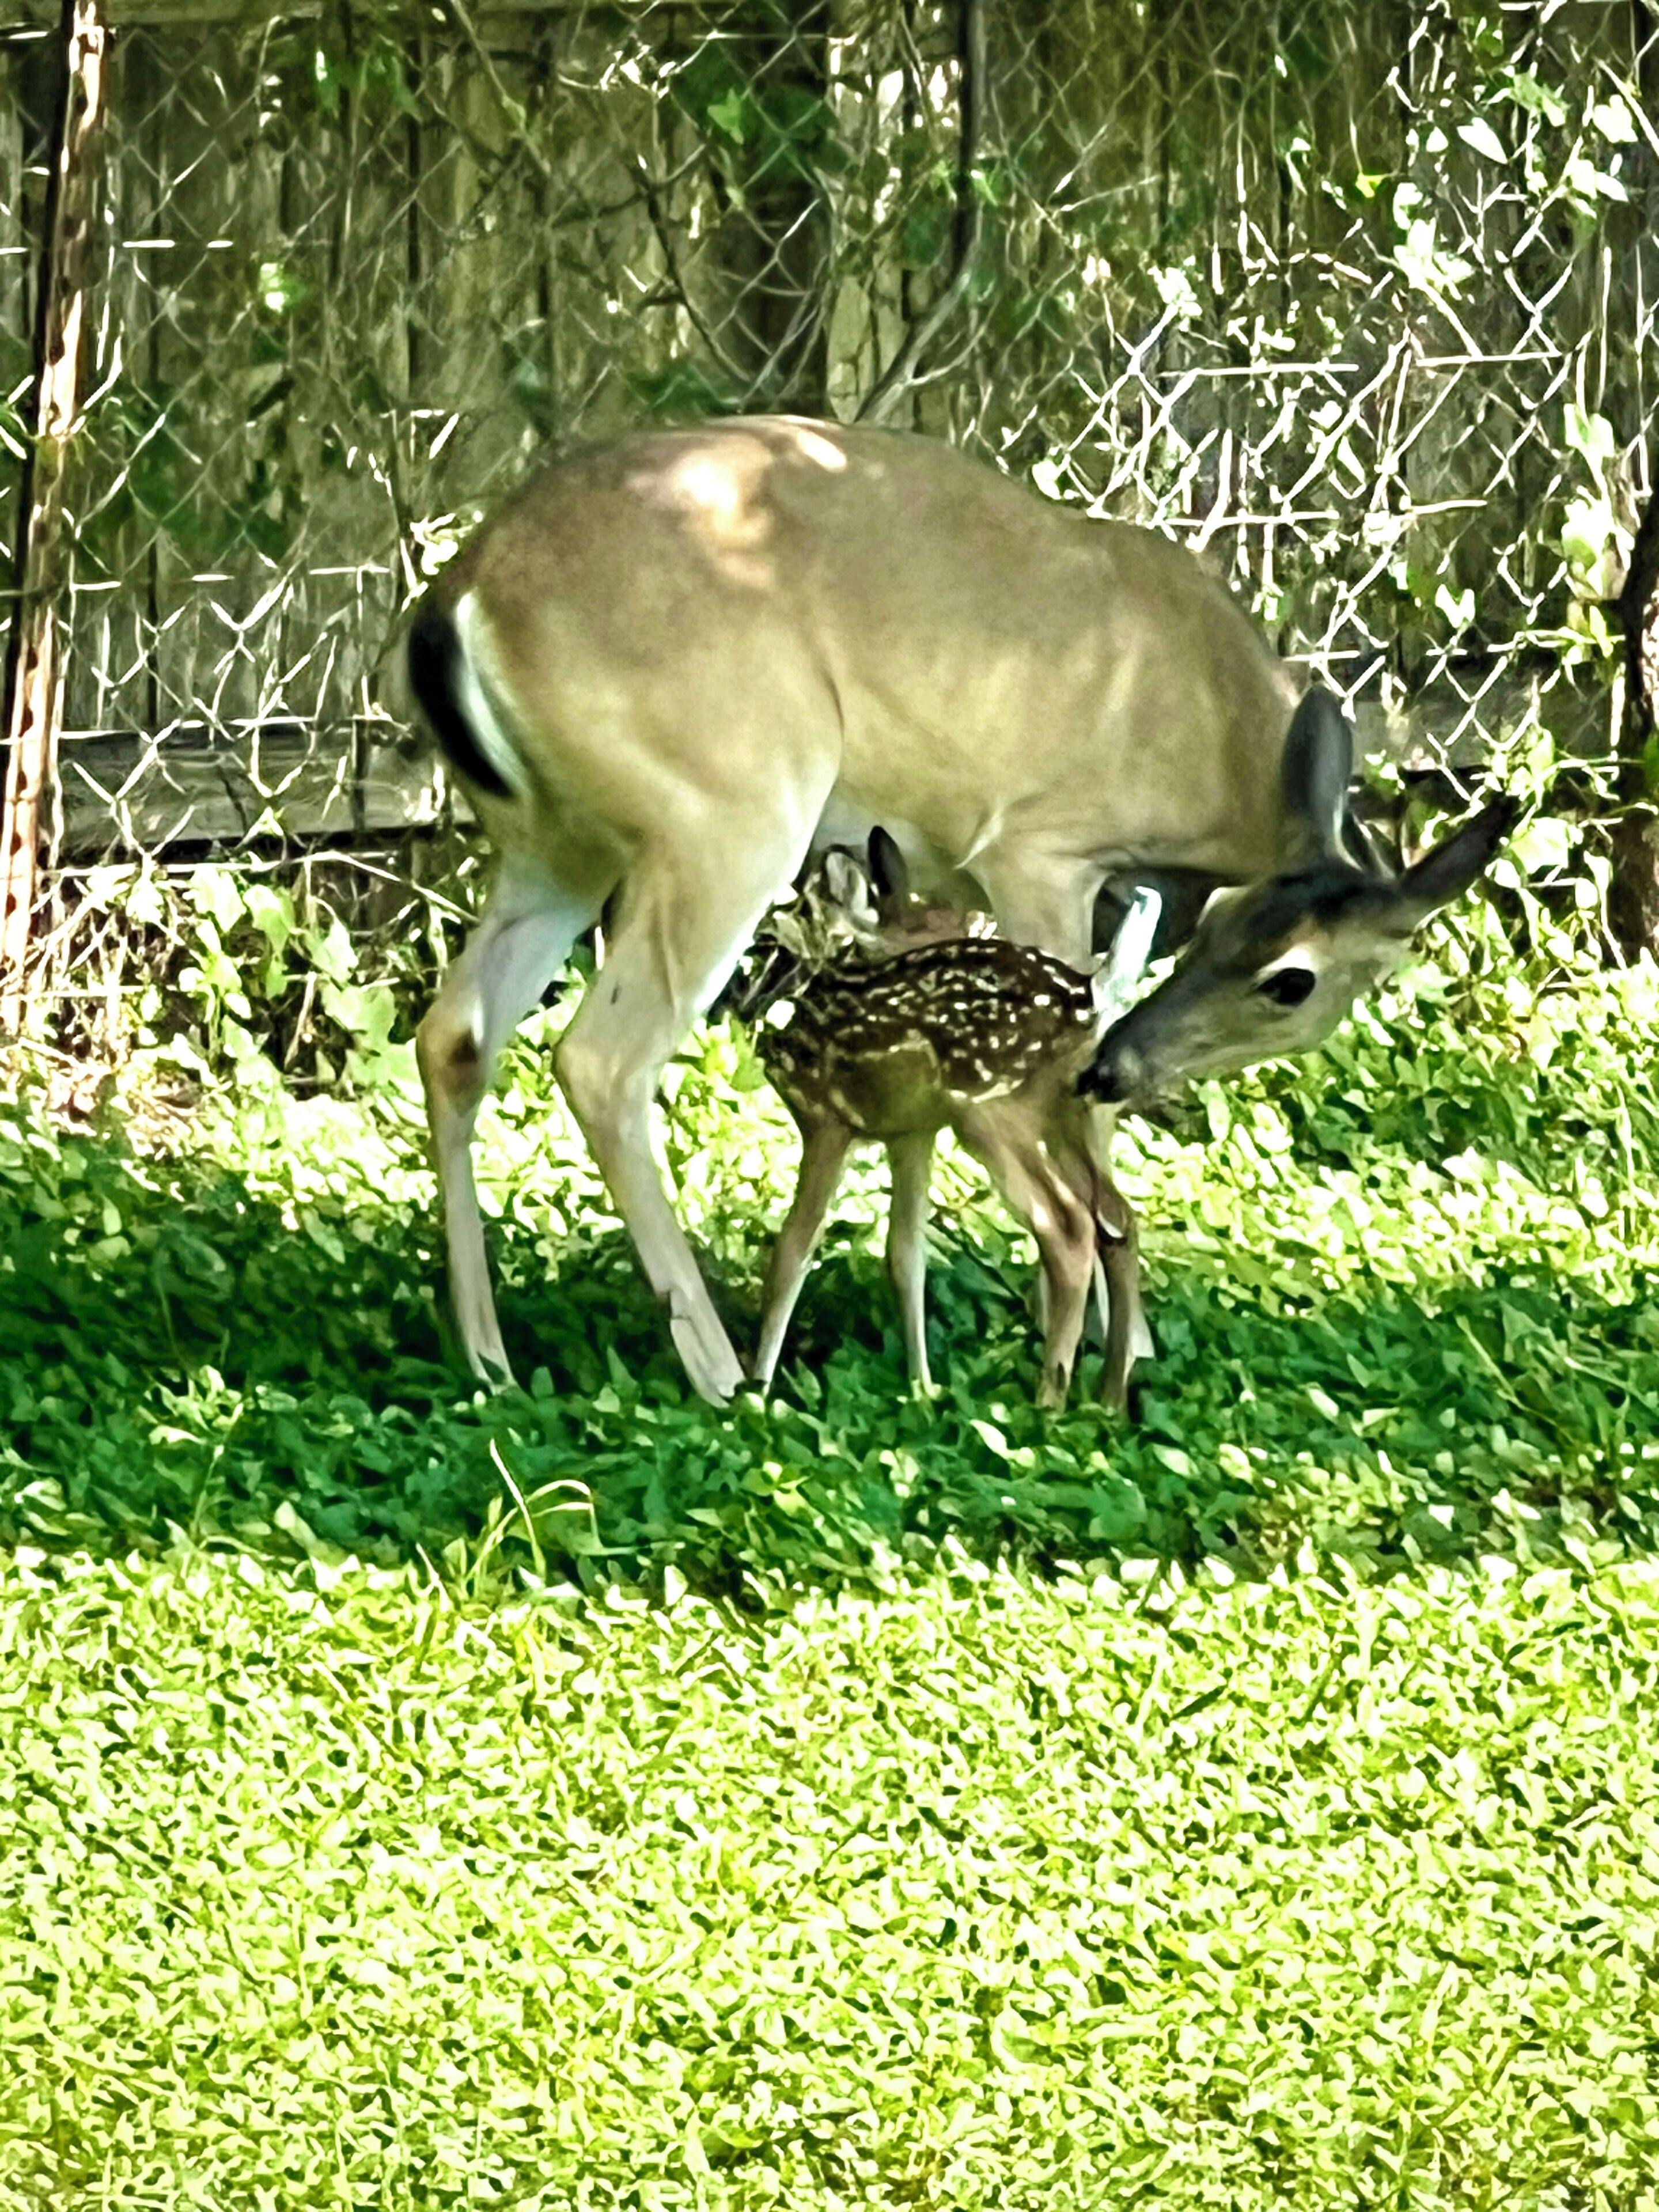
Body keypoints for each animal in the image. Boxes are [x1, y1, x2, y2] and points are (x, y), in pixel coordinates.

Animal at [748, 831, 1163, 1409]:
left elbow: (792, 1249)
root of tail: (1091, 996)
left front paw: (753, 1393)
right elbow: (906, 1256)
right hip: (1072, 1115)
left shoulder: (825, 1118)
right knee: (1118, 1222)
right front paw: (922, 1389)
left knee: (1068, 1228)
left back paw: (1049, 1402)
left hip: (990, 1112)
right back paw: (1110, 1399)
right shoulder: (912, 1133)